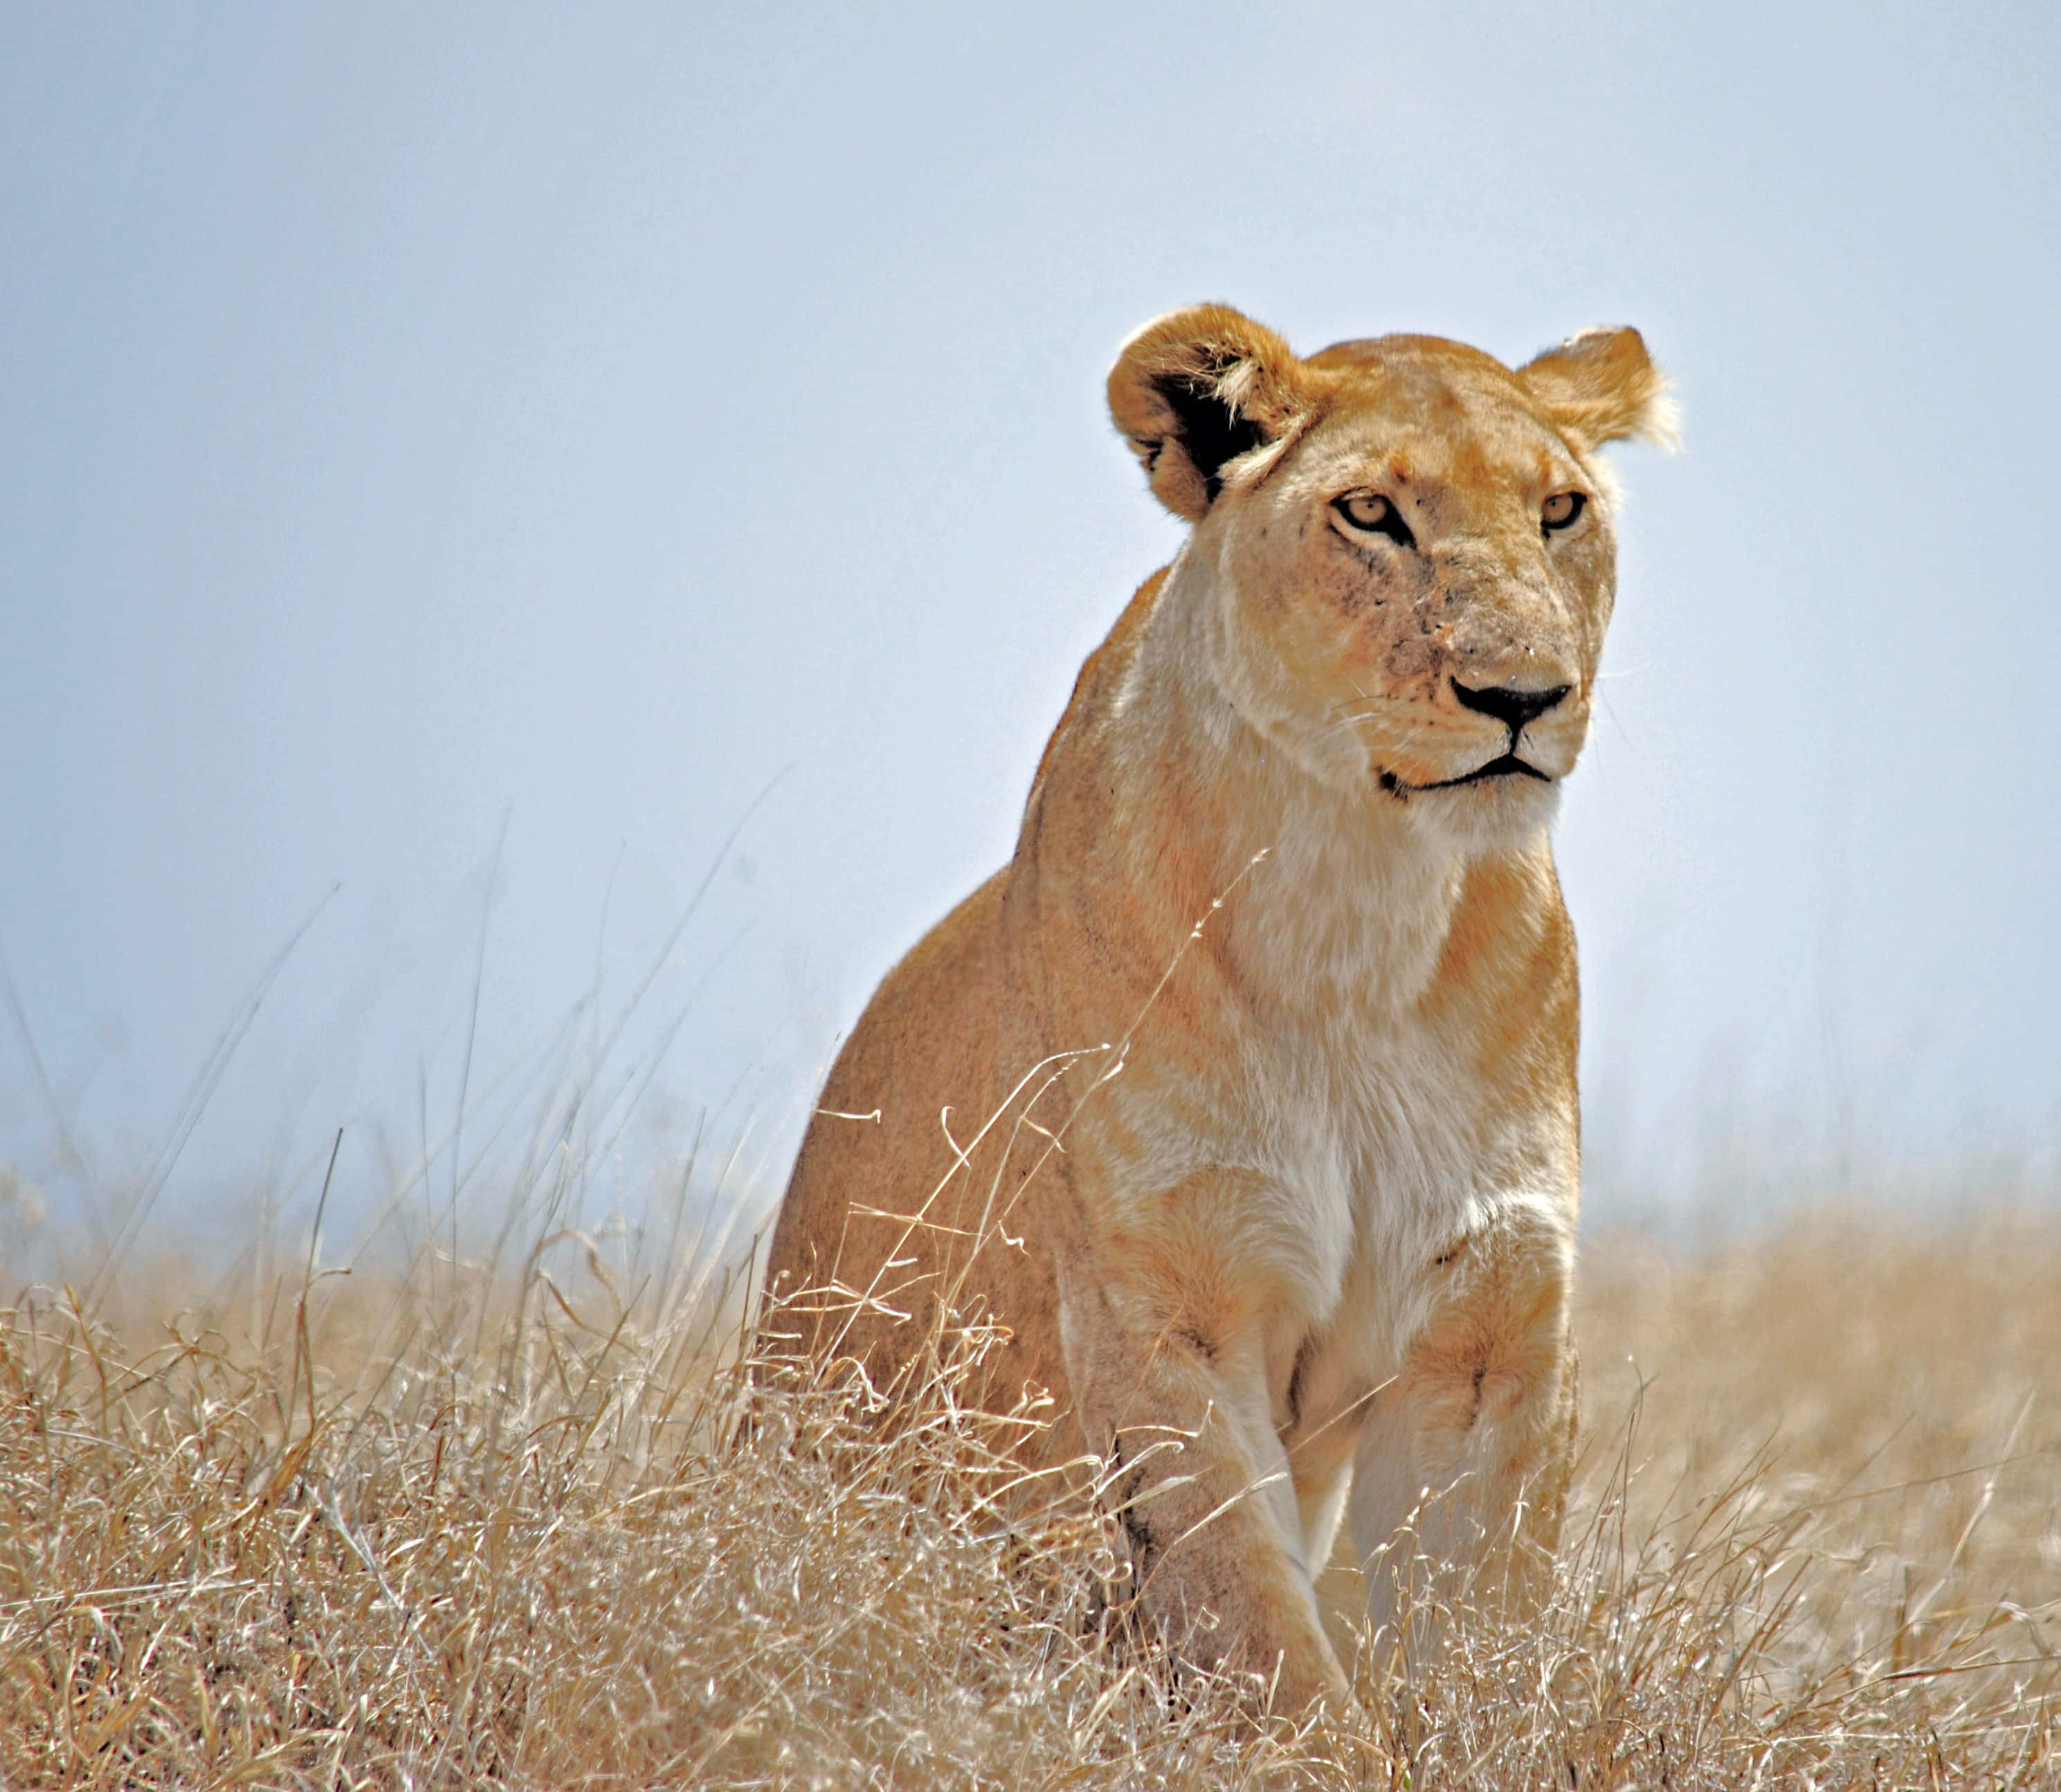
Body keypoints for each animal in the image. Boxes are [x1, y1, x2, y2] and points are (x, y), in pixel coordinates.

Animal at [761, 304, 1672, 1709]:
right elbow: (1260, 1634)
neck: (1357, 903)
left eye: (1559, 510)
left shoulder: (1486, 1316)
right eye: (1370, 513)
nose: (1522, 698)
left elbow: (1477, 1633)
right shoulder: (1160, 1305)